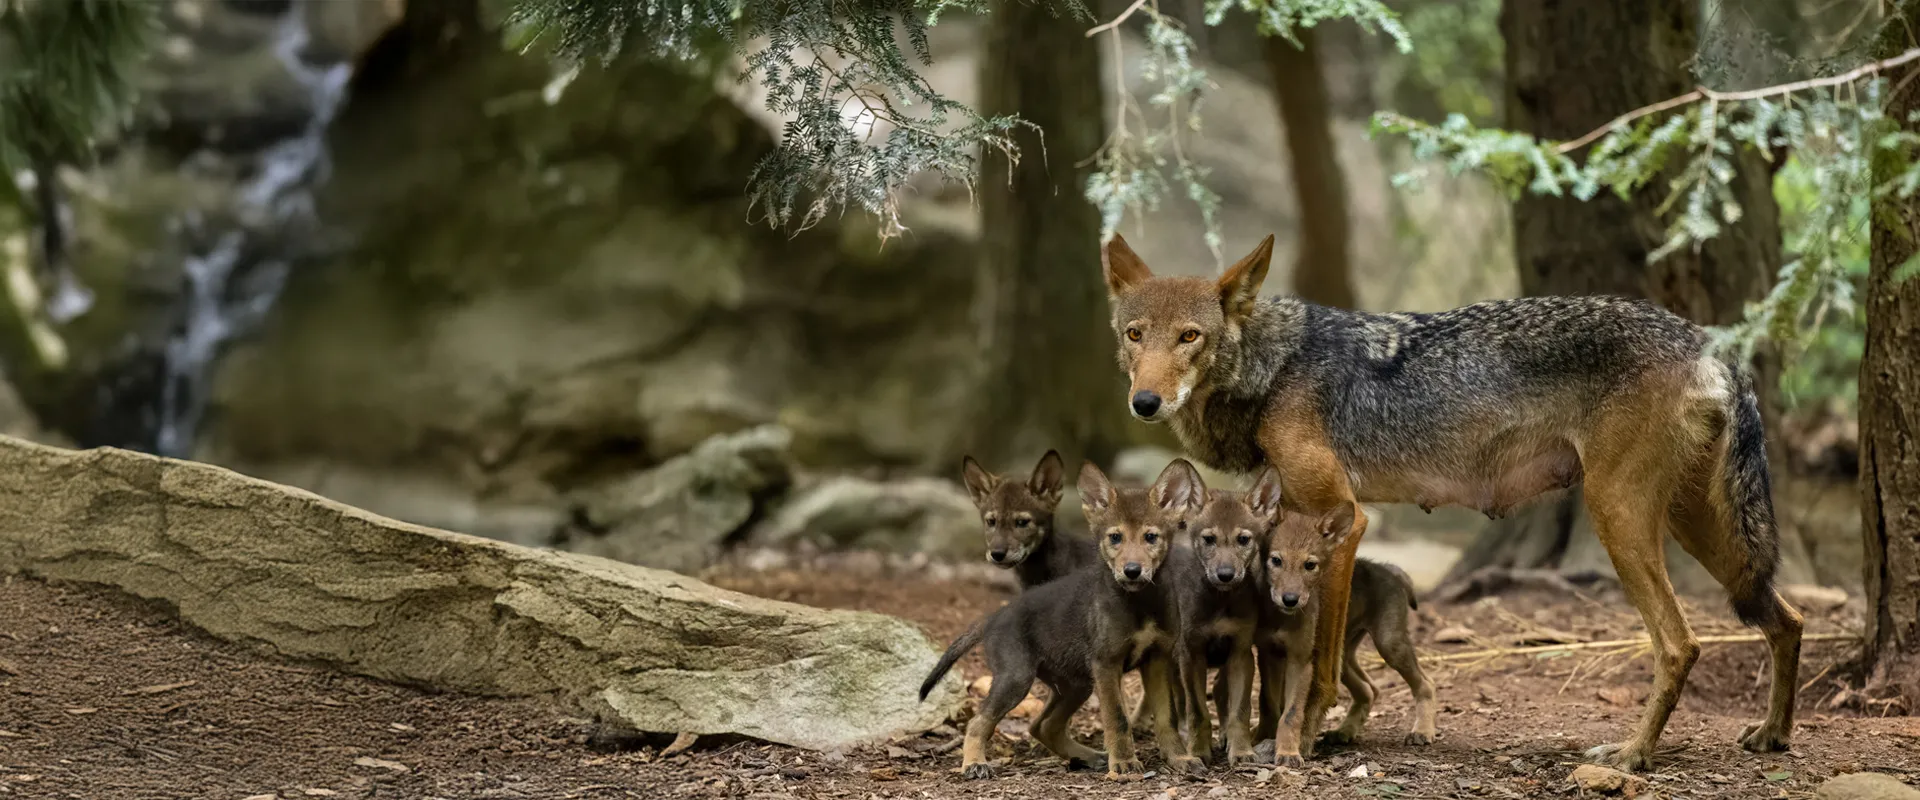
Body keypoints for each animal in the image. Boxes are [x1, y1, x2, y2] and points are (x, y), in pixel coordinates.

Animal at [1098, 233, 1803, 771]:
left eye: (1190, 337)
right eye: (1135, 335)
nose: (1144, 402)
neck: (1275, 369)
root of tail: (1709, 342)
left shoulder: (1342, 520)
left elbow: (1320, 662)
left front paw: (1300, 740)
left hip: (1619, 519)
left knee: (1682, 644)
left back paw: (1632, 754)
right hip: (1697, 530)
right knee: (1787, 619)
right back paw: (1772, 735)